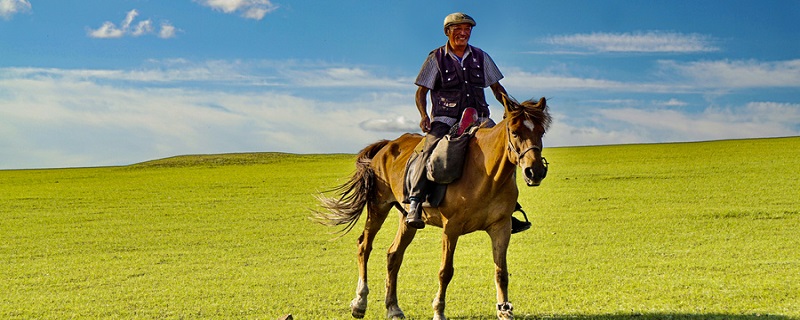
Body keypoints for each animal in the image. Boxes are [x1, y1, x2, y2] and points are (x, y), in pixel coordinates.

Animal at [312, 95, 552, 320]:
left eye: (541, 132)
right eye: (515, 132)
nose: (535, 172)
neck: (486, 174)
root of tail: (387, 145)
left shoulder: (501, 227)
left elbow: (501, 271)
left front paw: (504, 310)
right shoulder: (451, 228)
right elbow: (445, 271)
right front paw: (439, 311)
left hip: (407, 219)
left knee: (393, 255)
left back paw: (393, 307)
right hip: (378, 206)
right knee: (364, 246)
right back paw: (359, 303)